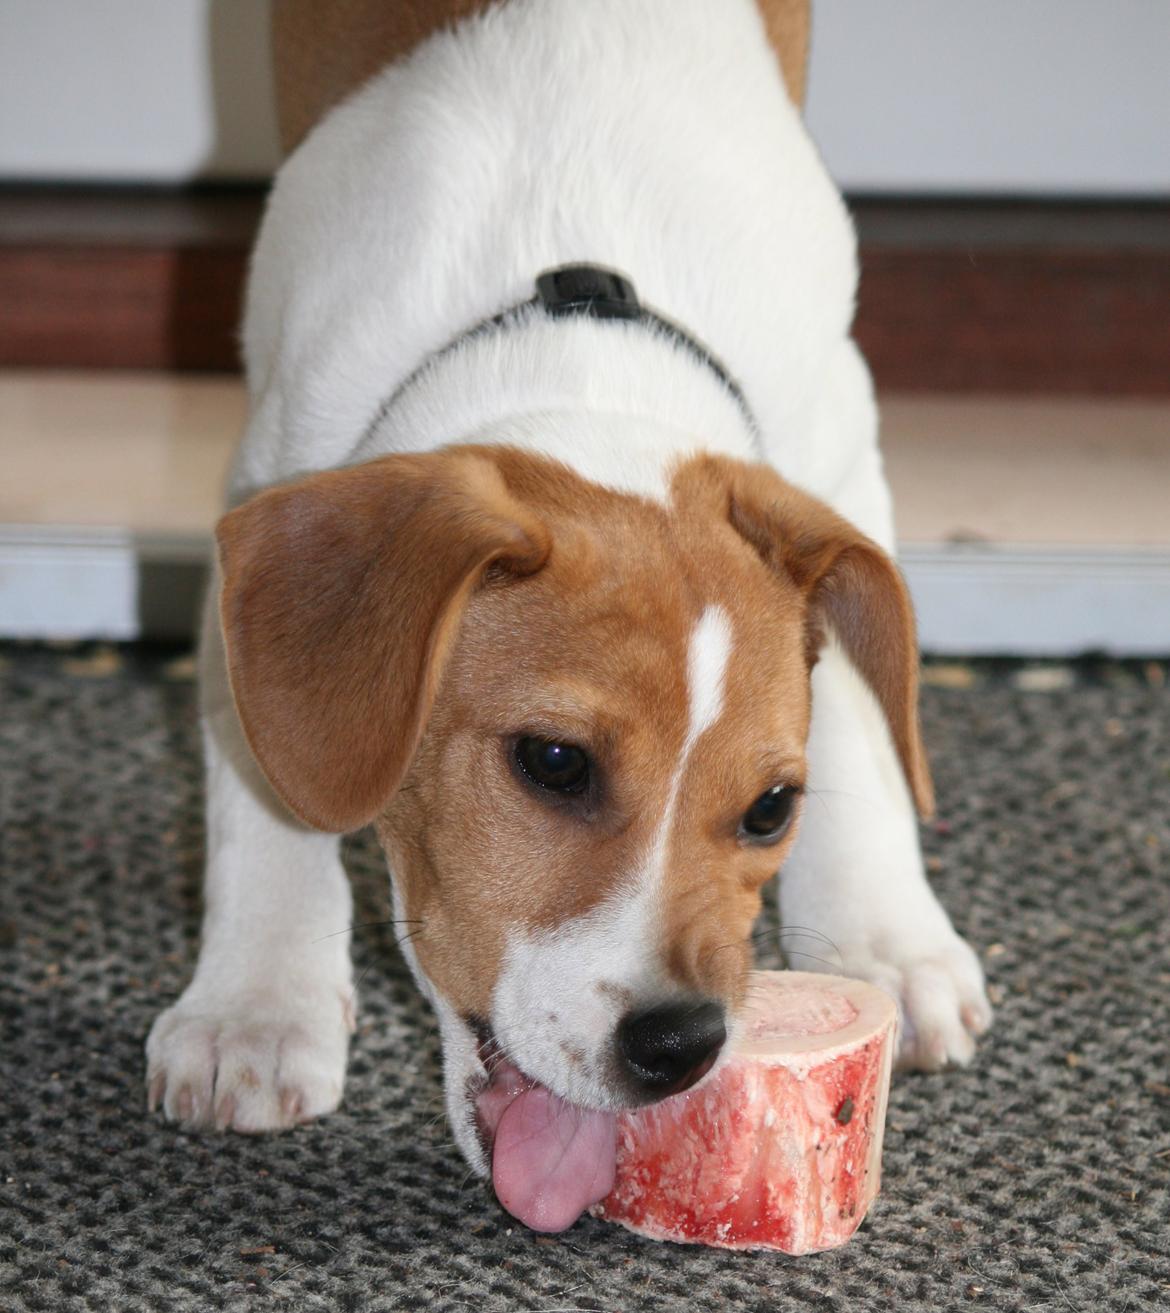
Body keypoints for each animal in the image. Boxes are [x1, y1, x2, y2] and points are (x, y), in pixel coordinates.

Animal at [144, 0, 987, 1228]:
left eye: (773, 806)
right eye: (553, 762)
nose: (680, 1043)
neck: (578, 310)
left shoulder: (842, 449)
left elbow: (871, 728)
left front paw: (885, 932)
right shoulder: (258, 494)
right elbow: (269, 784)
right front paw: (256, 1002)